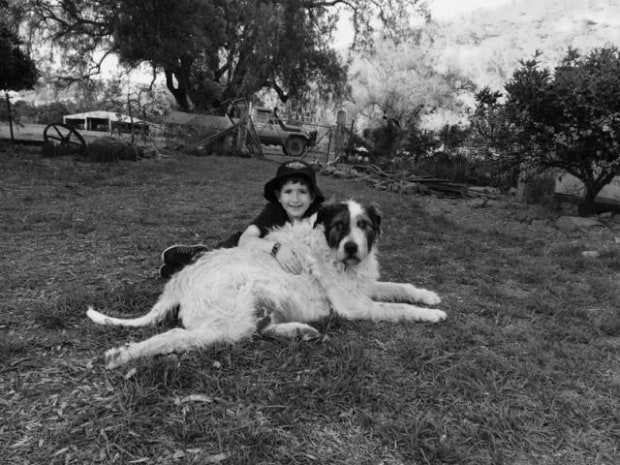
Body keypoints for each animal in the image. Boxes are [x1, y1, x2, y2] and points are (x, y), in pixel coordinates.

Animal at [87, 200, 447, 369]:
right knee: (176, 336)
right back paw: (123, 355)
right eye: (339, 225)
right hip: (232, 315)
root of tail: (180, 280)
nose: (351, 248)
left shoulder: (364, 287)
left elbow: (400, 288)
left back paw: (301, 331)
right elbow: (398, 308)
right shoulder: (354, 305)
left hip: (256, 307)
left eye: (364, 225)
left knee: (260, 329)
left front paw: (428, 296)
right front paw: (431, 315)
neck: (329, 251)